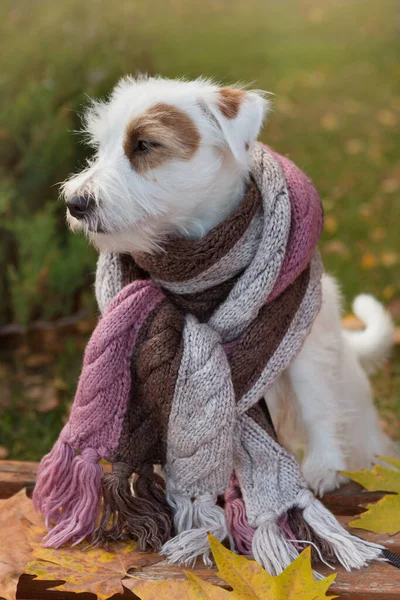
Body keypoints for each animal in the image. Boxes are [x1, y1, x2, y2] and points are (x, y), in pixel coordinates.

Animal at [61, 75, 396, 496]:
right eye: (99, 147)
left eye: (144, 144)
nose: (75, 203)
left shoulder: (304, 346)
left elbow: (317, 403)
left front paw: (325, 466)